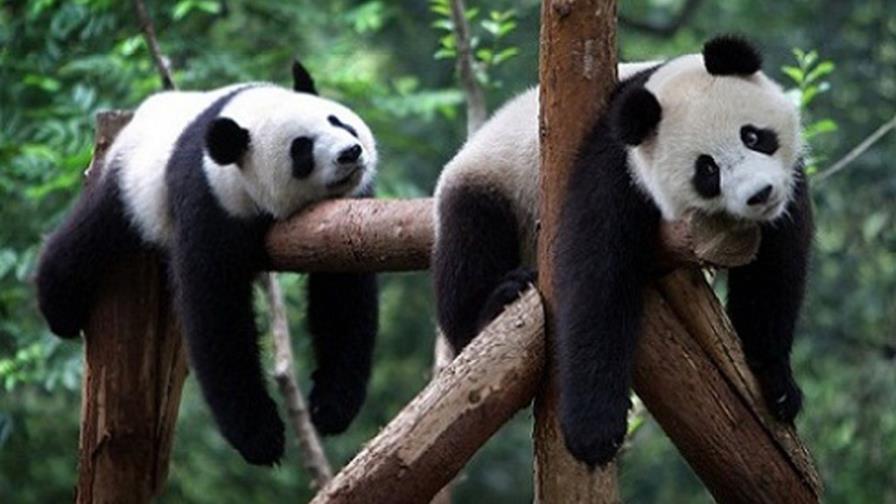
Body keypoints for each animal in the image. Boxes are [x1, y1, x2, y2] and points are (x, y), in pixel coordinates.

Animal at [35, 61, 379, 466]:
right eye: (302, 150)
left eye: (338, 121)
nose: (350, 152)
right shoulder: (209, 200)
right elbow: (216, 311)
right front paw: (260, 437)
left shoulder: (345, 213)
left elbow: (342, 296)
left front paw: (331, 407)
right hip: (128, 185)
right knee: (84, 240)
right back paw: (59, 312)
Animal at [433, 35, 813, 467]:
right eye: (708, 171)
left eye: (752, 136)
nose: (760, 194)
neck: (654, 88)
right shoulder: (614, 169)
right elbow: (596, 280)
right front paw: (594, 433)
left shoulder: (788, 189)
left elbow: (776, 269)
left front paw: (777, 383)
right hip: (490, 181)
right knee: (468, 245)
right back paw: (499, 299)